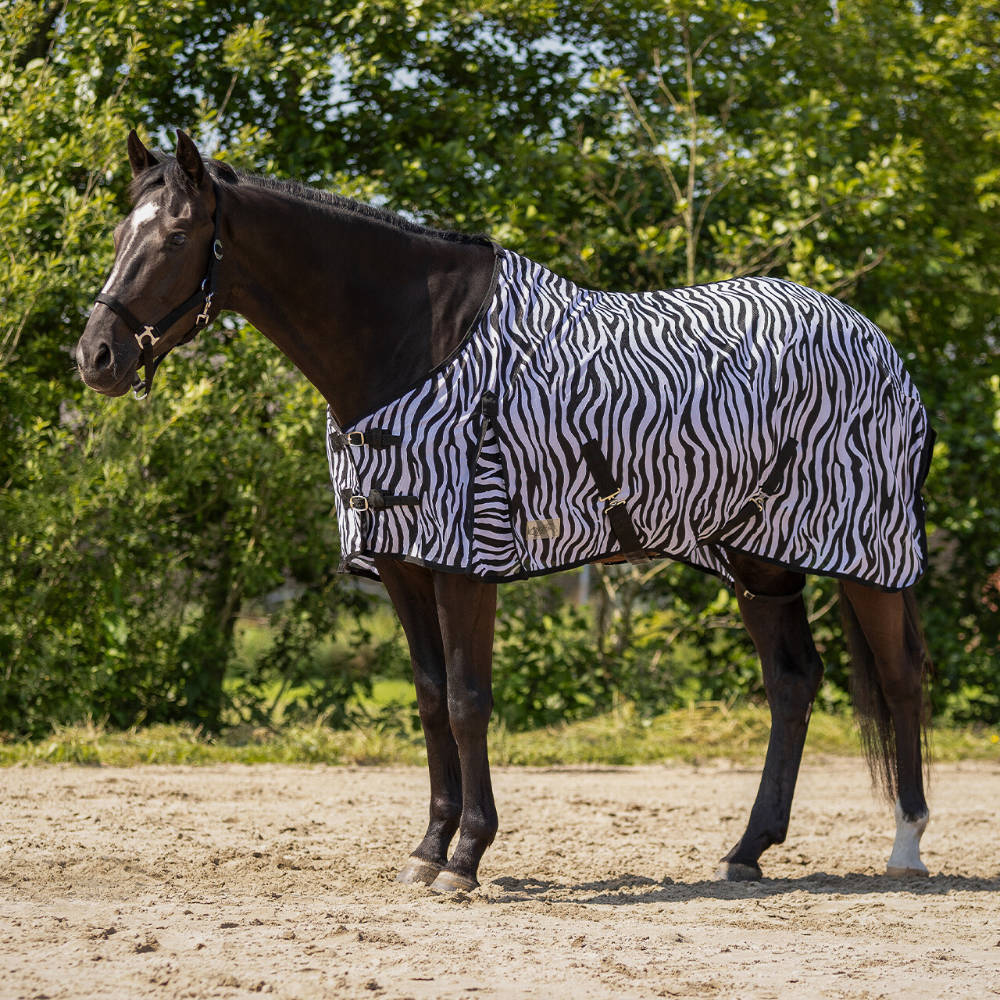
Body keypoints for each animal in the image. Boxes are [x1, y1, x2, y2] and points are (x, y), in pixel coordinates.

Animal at [76, 130, 933, 892]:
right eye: (120, 231)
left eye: (178, 234)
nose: (96, 356)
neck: (413, 347)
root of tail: (878, 344)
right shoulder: (403, 563)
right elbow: (429, 700)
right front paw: (427, 850)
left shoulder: (466, 559)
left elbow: (467, 701)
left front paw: (467, 857)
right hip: (759, 561)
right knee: (792, 683)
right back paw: (747, 851)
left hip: (870, 556)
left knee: (899, 680)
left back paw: (907, 846)